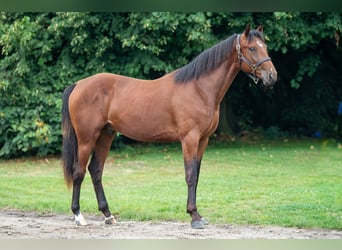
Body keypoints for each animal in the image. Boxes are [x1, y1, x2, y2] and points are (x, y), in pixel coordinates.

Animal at [60, 24, 276, 229]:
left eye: (265, 46)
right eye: (252, 48)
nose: (272, 76)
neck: (199, 89)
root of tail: (78, 84)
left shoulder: (203, 140)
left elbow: (197, 175)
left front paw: (199, 215)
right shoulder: (189, 139)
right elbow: (190, 175)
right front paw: (194, 217)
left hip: (106, 135)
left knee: (96, 170)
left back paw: (108, 215)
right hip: (87, 138)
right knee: (78, 172)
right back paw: (79, 216)